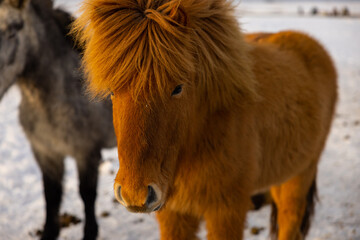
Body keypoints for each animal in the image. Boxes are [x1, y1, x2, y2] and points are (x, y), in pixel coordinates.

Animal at [0, 0, 115, 239]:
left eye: (15, 29)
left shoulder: (86, 153)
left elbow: (87, 194)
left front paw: (90, 232)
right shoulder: (46, 153)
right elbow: (51, 195)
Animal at [73, 0, 338, 239]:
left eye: (178, 88)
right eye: (113, 90)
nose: (134, 194)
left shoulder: (226, 212)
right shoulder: (174, 214)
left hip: (298, 179)